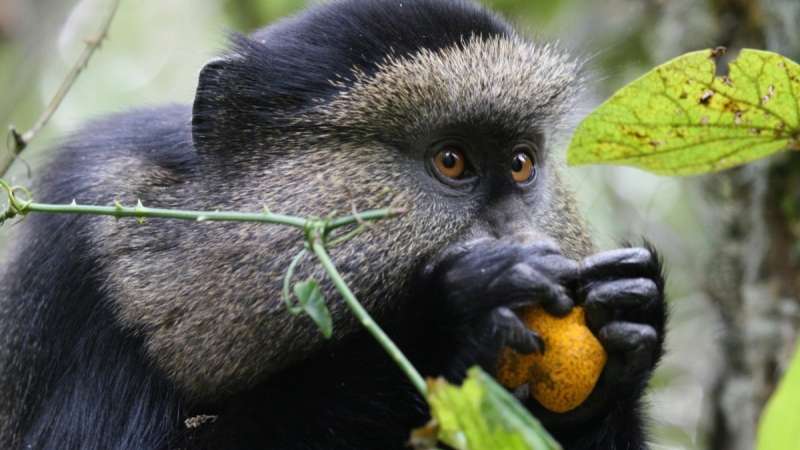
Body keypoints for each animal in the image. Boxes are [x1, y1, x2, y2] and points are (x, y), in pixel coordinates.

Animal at [0, 0, 667, 449]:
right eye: (452, 161)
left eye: (522, 164)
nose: (527, 241)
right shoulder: (91, 268)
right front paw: (444, 321)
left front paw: (628, 319)